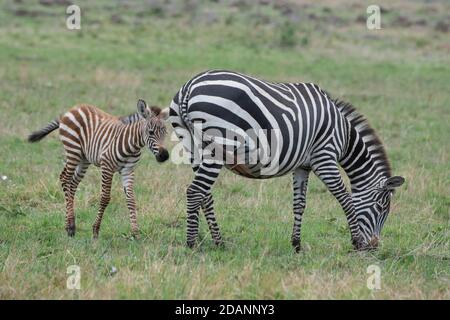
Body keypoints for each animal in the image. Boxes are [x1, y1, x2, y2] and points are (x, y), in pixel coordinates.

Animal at [28, 100, 169, 238]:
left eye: (166, 133)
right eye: (150, 132)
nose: (164, 156)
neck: (132, 145)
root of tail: (72, 109)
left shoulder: (128, 170)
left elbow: (131, 200)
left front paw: (135, 233)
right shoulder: (107, 167)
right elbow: (105, 198)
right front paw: (95, 230)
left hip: (84, 159)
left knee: (72, 183)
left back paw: (70, 225)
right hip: (73, 151)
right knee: (65, 178)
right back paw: (70, 227)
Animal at [170, 69, 408, 251]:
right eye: (381, 207)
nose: (374, 246)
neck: (344, 134)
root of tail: (189, 87)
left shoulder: (303, 166)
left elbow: (299, 204)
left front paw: (296, 244)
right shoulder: (325, 158)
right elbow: (346, 199)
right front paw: (356, 241)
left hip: (193, 146)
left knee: (205, 195)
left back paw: (218, 242)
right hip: (218, 146)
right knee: (195, 192)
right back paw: (191, 244)